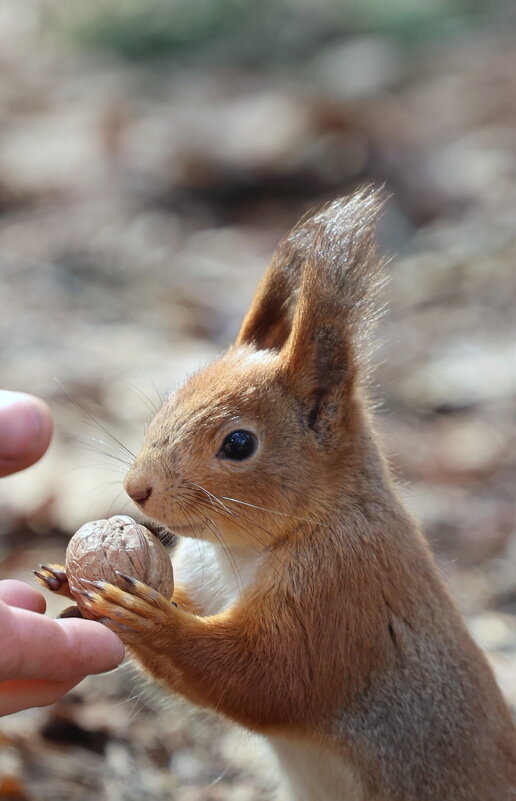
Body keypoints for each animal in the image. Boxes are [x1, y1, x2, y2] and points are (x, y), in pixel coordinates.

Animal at [38, 188, 516, 800]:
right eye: (175, 395)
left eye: (239, 443)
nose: (136, 488)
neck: (239, 549)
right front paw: (65, 579)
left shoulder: (342, 590)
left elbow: (270, 676)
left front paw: (149, 621)